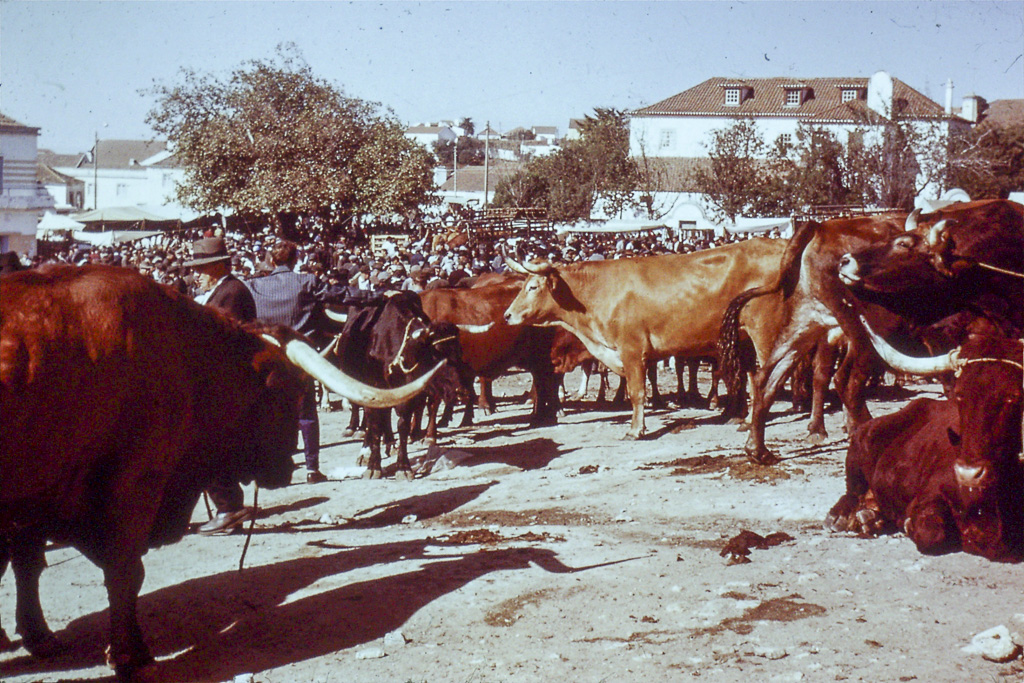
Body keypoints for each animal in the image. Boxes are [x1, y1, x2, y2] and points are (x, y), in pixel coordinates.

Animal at [501, 240, 782, 440]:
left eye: (533, 287)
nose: (507, 315)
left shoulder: (632, 351)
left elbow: (637, 392)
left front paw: (636, 430)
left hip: (765, 331)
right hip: (744, 338)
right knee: (752, 377)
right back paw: (745, 419)